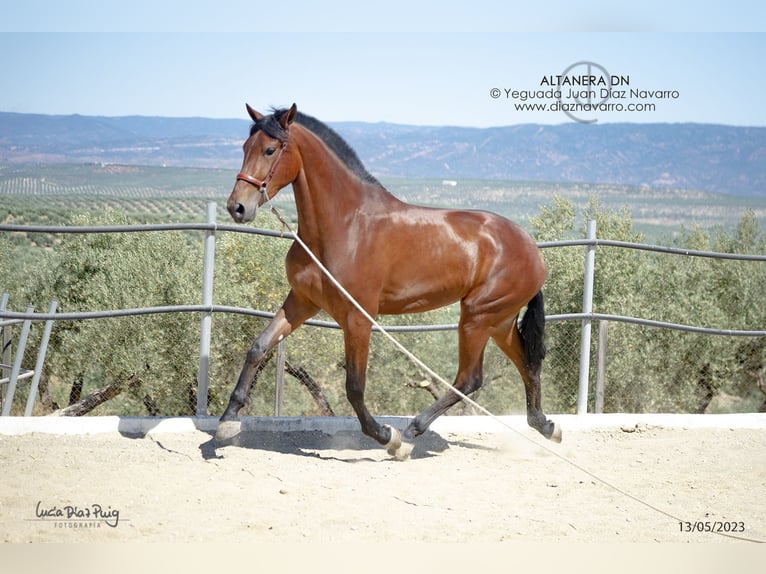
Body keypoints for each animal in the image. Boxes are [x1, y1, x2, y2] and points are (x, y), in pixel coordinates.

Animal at [217, 103, 561, 459]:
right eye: (245, 147)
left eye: (270, 150)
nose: (237, 207)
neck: (345, 225)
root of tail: (532, 249)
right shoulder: (302, 301)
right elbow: (258, 348)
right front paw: (227, 421)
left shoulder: (358, 318)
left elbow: (354, 386)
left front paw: (386, 435)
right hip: (500, 321)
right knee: (527, 364)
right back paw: (546, 426)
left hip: (477, 318)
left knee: (470, 379)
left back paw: (410, 433)